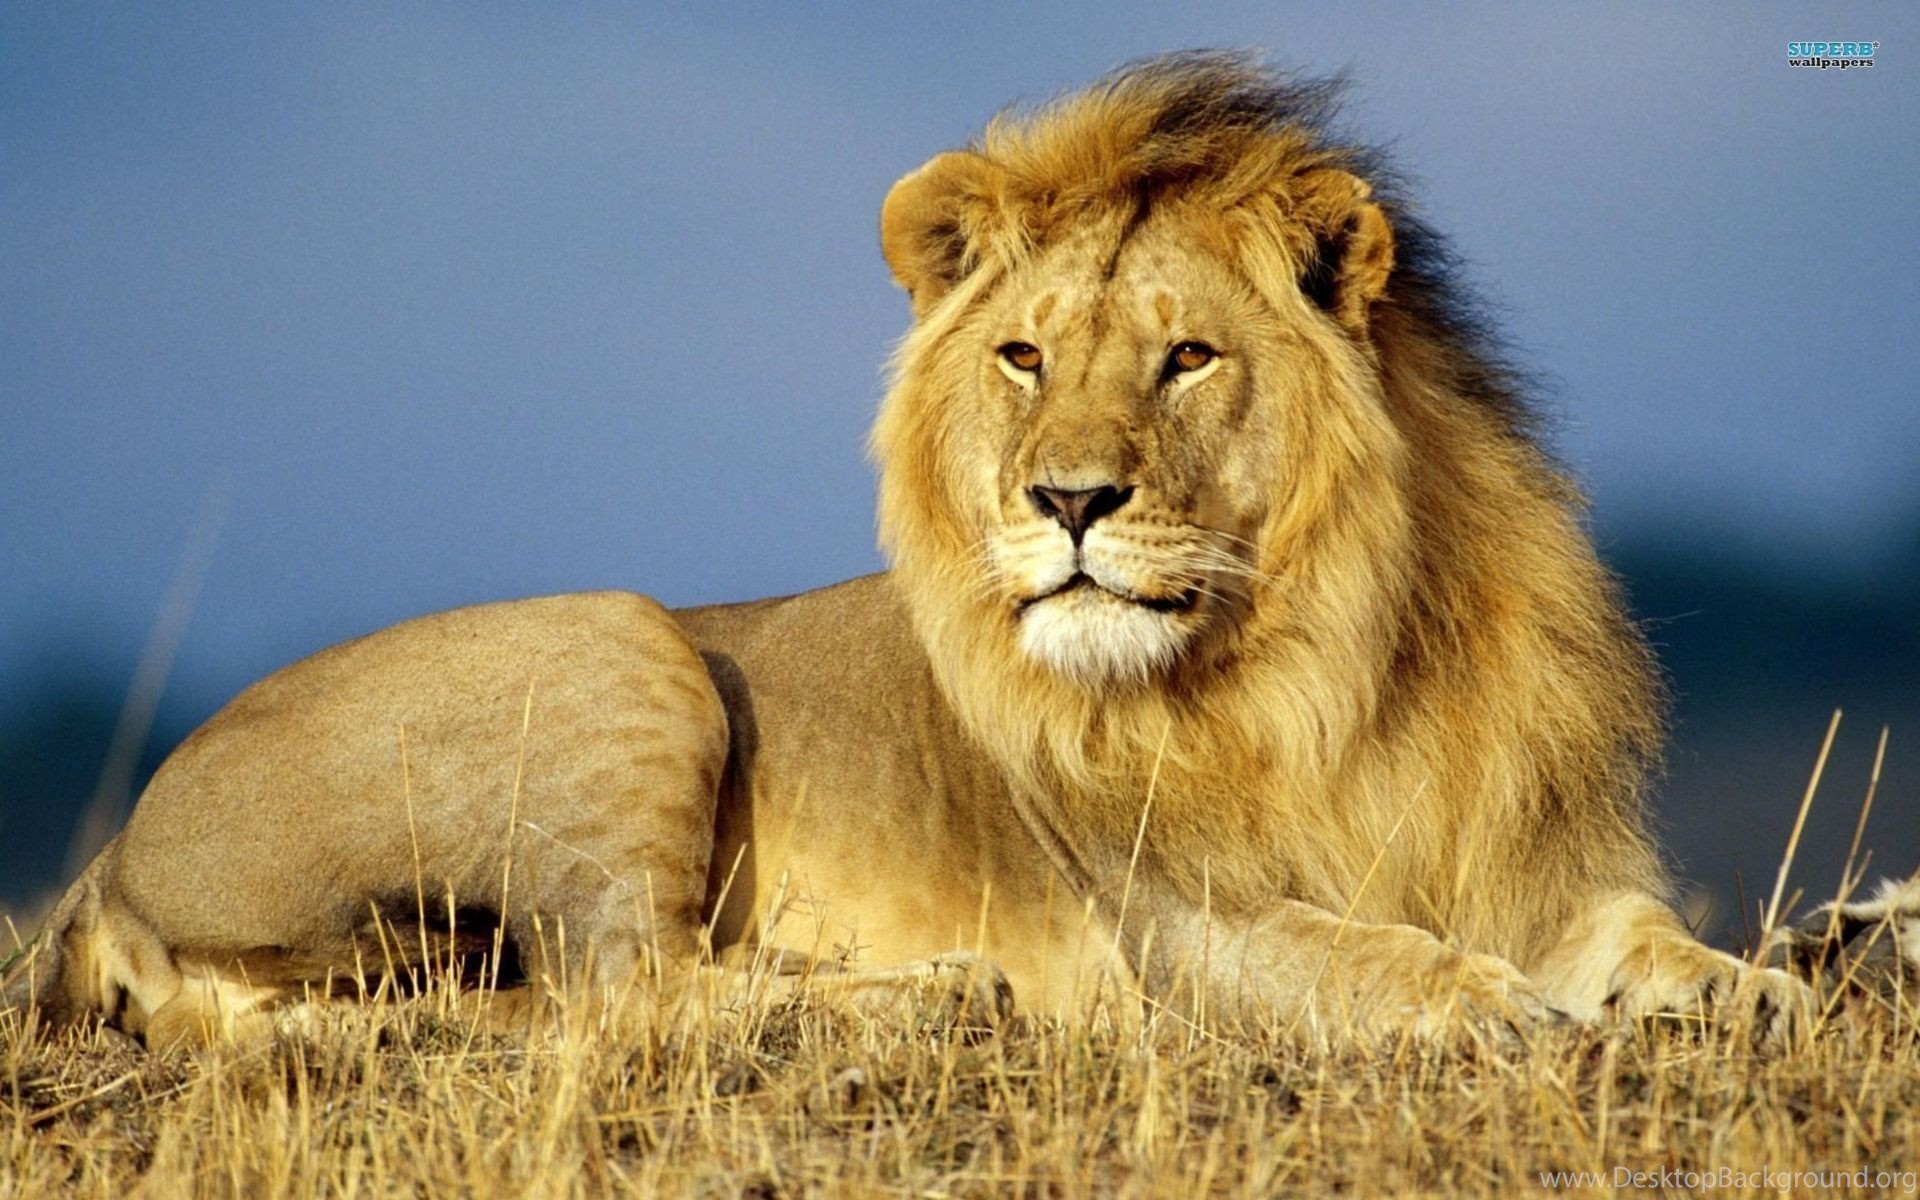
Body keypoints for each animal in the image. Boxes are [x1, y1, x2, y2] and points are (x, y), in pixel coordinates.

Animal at [4, 53, 1879, 1050]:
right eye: (1027, 357)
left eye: (1187, 358)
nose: (1068, 502)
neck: (1330, 660)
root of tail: (109, 862)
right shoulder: (1172, 928)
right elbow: (1366, 955)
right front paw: (1495, 1008)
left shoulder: (1540, 863)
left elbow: (1649, 945)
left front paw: (1766, 988)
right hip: (627, 644)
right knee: (617, 992)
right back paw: (923, 994)